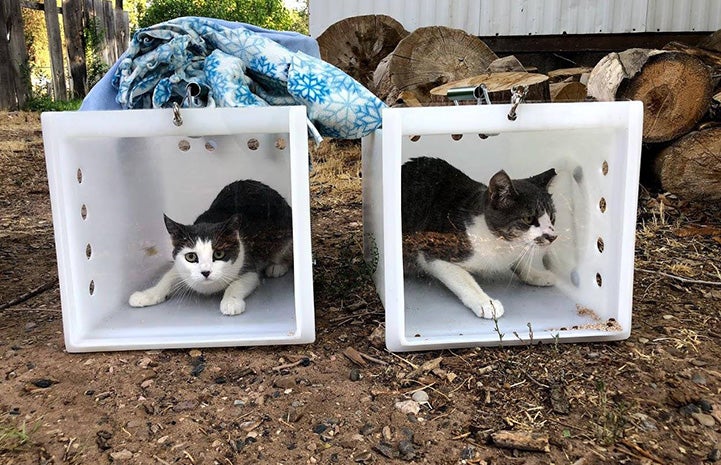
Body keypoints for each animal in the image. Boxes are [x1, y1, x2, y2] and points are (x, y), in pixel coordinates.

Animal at [128, 179, 292, 314]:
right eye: (191, 256)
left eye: (219, 254)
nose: (205, 272)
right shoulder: (180, 266)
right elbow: (168, 276)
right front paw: (147, 294)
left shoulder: (249, 264)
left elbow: (238, 284)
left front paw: (231, 302)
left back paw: (277, 267)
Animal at [400, 157, 556, 320]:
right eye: (528, 218)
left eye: (552, 217)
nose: (552, 236)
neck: (499, 242)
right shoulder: (434, 252)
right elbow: (464, 279)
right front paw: (486, 303)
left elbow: (519, 261)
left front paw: (537, 274)